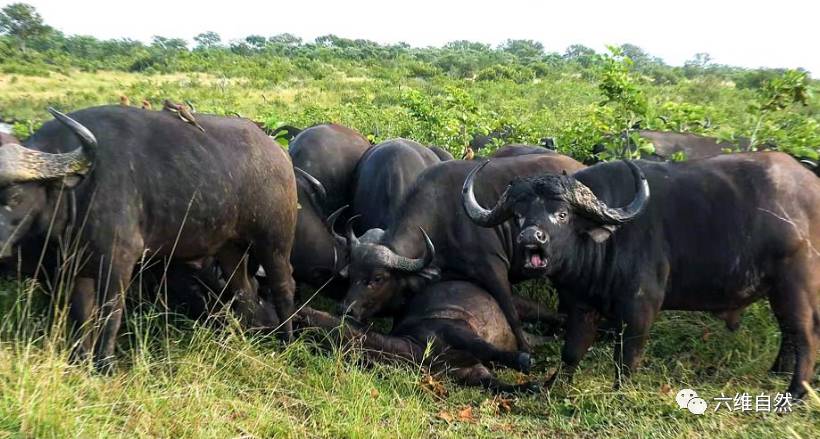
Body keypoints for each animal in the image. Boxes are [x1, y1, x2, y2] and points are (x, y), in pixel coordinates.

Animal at [0, 105, 300, 368]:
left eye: (15, 196)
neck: (78, 189)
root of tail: (278, 153)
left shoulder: (119, 260)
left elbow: (111, 313)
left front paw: (105, 364)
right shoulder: (77, 265)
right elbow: (82, 313)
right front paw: (82, 360)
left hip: (274, 241)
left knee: (284, 286)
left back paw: (287, 342)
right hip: (229, 248)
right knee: (244, 291)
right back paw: (244, 338)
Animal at [338, 153, 584, 352]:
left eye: (378, 278)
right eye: (351, 273)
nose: (347, 310)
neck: (443, 216)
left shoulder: (494, 268)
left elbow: (511, 312)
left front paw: (525, 348)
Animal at [464, 153, 816, 398]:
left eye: (562, 214)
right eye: (519, 215)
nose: (529, 238)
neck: (605, 243)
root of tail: (811, 188)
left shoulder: (640, 308)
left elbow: (626, 358)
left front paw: (619, 392)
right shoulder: (581, 305)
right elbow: (572, 350)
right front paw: (553, 384)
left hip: (796, 286)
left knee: (806, 335)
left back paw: (794, 393)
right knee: (790, 334)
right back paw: (776, 374)